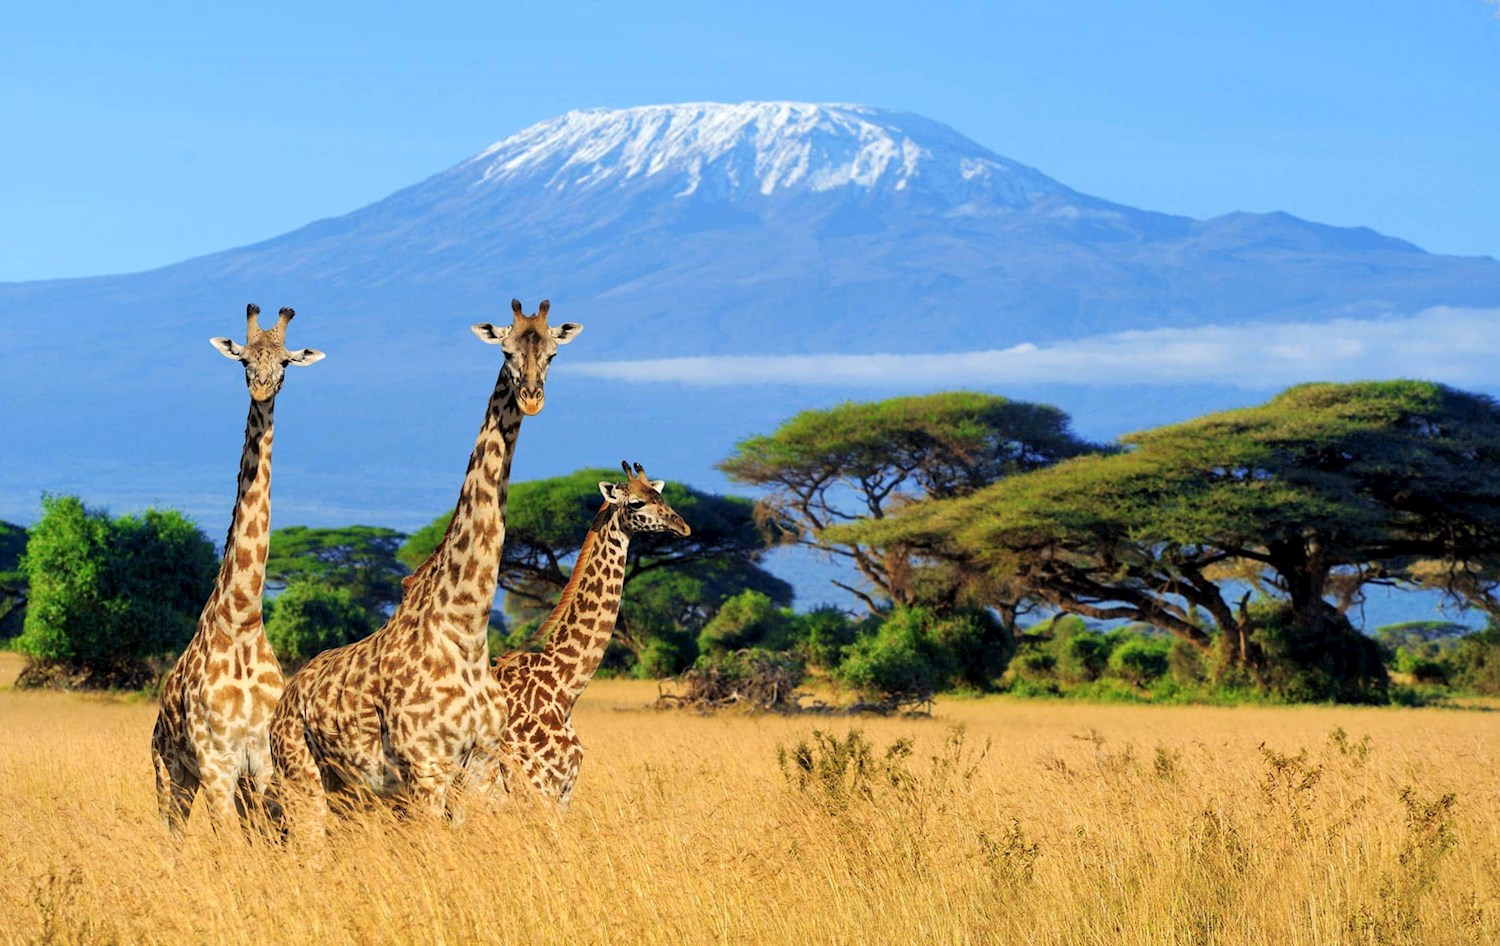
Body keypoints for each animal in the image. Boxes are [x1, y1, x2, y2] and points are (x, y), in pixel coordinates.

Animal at [150, 305, 324, 833]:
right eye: (244, 359)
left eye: (285, 362)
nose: (262, 388)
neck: (243, 619)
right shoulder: (216, 763)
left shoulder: (261, 763)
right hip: (170, 772)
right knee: (171, 833)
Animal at [270, 296, 579, 833]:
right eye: (506, 350)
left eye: (553, 353)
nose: (532, 398)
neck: (466, 628)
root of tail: (285, 700)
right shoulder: (427, 769)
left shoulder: (480, 767)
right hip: (301, 778)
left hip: (349, 792)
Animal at [474, 461, 690, 809]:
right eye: (636, 503)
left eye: (660, 495)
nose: (683, 527)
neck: (563, 688)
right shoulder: (535, 789)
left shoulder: (563, 792)